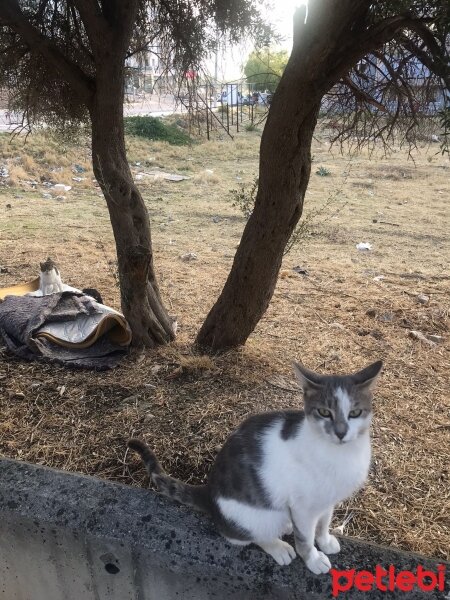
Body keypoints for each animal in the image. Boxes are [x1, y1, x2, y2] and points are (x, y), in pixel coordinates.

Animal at [128, 358, 382, 576]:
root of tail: (209, 492)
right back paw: (278, 547)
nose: (340, 433)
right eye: (324, 412)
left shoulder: (327, 499)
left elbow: (323, 523)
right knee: (244, 536)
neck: (339, 453)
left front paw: (325, 540)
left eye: (355, 412)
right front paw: (312, 559)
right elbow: (305, 539)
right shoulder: (303, 506)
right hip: (253, 517)